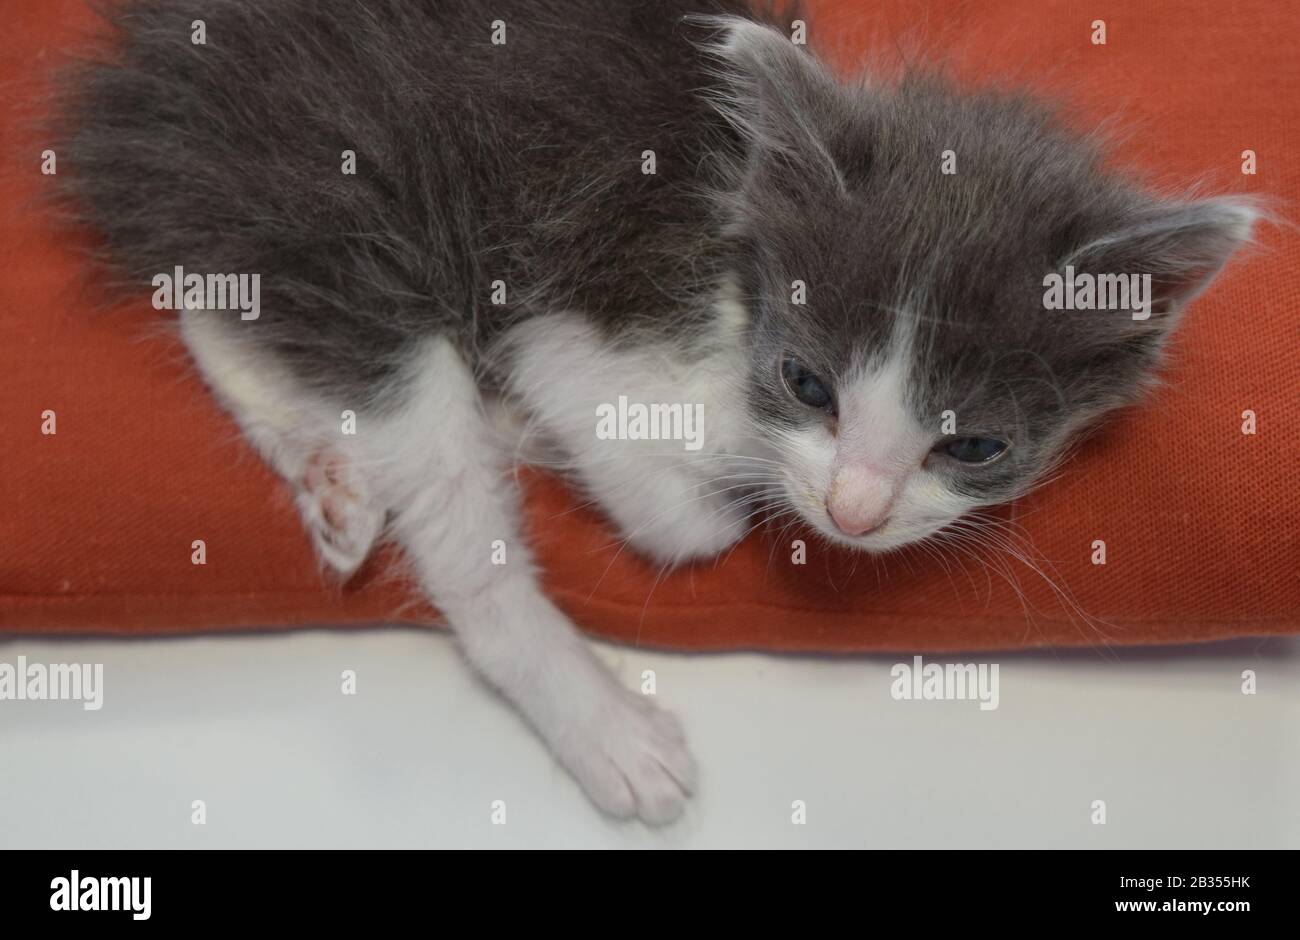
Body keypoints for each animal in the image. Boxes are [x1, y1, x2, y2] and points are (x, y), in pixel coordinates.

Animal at [55, 0, 1253, 821]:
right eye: (805, 383)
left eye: (975, 444)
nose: (854, 512)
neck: (736, 273)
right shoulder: (578, 308)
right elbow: (682, 516)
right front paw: (557, 440)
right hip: (346, 181)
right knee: (434, 481)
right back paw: (599, 721)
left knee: (210, 285)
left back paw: (334, 482)